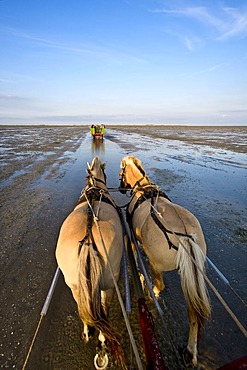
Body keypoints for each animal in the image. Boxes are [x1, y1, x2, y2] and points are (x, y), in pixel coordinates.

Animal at [56, 157, 124, 370]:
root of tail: (87, 238)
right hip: (108, 285)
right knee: (103, 310)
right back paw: (102, 341)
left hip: (75, 285)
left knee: (83, 307)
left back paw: (87, 332)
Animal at [119, 154, 210, 368]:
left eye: (121, 172)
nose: (120, 188)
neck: (143, 188)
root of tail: (186, 235)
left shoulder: (133, 238)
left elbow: (134, 252)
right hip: (191, 275)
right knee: (193, 313)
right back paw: (190, 351)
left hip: (157, 265)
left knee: (159, 286)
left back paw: (149, 287)